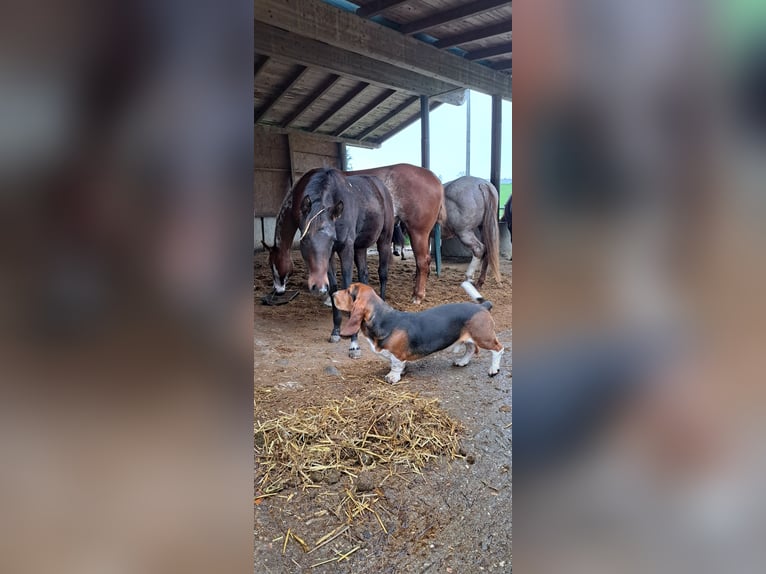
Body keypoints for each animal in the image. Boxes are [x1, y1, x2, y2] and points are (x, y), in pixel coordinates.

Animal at [266, 163, 448, 306]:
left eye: (274, 265)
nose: (278, 290)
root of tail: (435, 179)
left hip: (417, 232)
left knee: (422, 262)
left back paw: (417, 296)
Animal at [300, 166, 396, 358]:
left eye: (330, 239)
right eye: (305, 239)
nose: (317, 287)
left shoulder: (346, 249)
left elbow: (347, 284)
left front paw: (354, 344)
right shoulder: (331, 256)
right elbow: (334, 288)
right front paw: (336, 331)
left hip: (384, 240)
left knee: (383, 274)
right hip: (360, 247)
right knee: (364, 276)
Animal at [334, 282, 504, 384]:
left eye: (348, 291)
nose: (333, 293)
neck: (383, 319)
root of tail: (483, 306)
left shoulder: (397, 355)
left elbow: (396, 365)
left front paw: (392, 377)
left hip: (484, 337)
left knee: (498, 349)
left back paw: (493, 369)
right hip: (470, 338)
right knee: (470, 349)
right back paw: (462, 361)